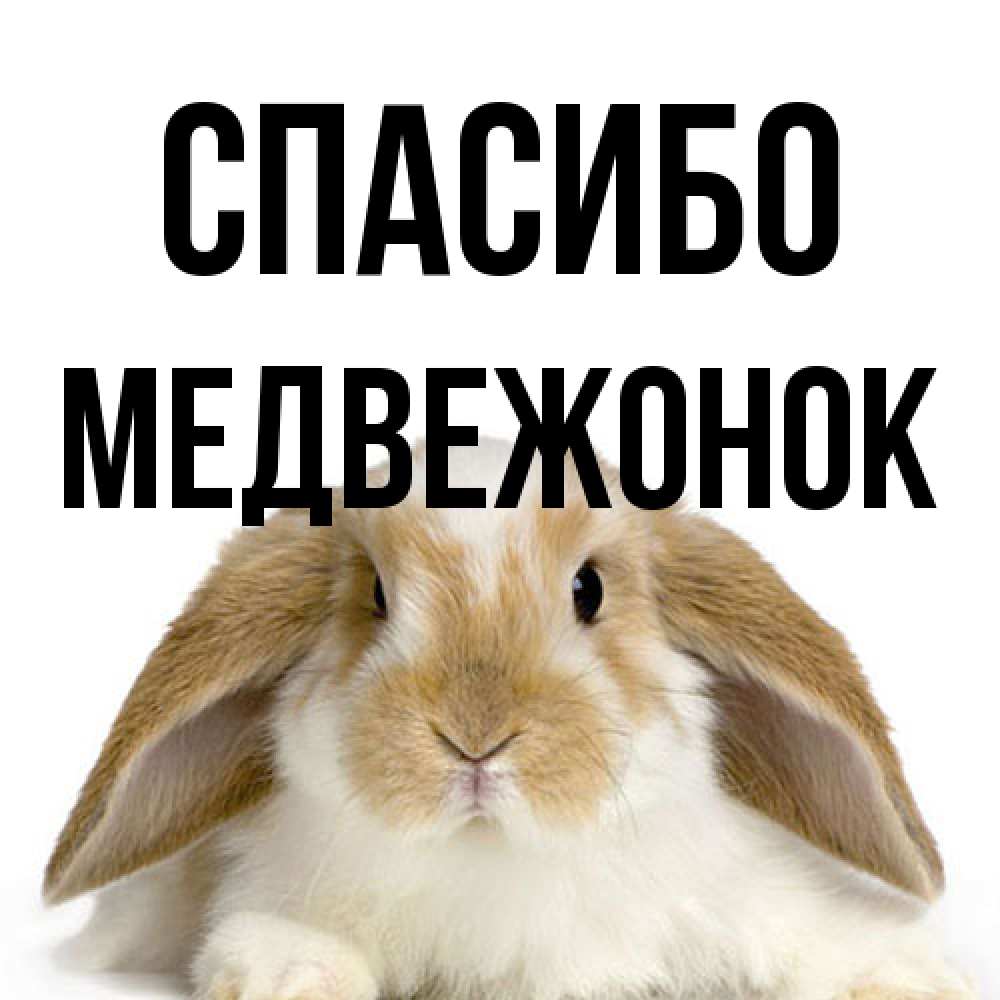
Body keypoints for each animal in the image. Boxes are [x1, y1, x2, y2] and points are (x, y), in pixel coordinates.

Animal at [45, 439, 975, 1000]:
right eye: (376, 596)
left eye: (589, 589)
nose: (475, 737)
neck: (494, 857)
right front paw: (291, 977)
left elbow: (820, 939)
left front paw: (910, 979)